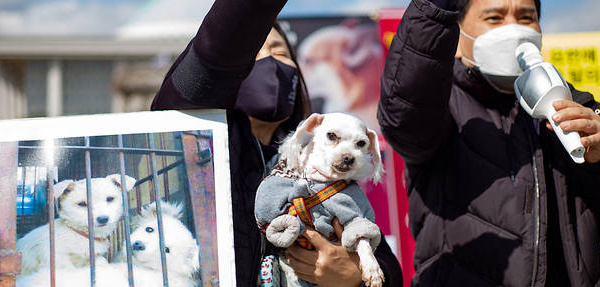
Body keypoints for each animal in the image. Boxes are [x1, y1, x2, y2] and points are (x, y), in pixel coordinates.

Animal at [254, 113, 384, 287]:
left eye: (361, 143)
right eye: (331, 135)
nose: (349, 158)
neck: (322, 179)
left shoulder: (353, 209)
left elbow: (362, 237)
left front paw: (372, 269)